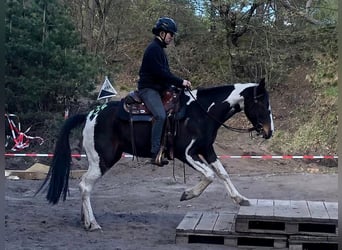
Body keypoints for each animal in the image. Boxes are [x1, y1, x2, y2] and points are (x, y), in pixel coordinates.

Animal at [37, 77, 274, 230]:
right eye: (262, 103)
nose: (269, 131)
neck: (201, 112)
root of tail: (89, 114)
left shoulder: (207, 149)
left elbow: (222, 173)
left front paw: (241, 199)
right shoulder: (185, 153)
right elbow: (209, 175)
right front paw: (187, 194)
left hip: (97, 160)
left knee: (85, 186)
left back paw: (84, 220)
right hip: (103, 159)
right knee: (85, 186)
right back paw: (93, 223)